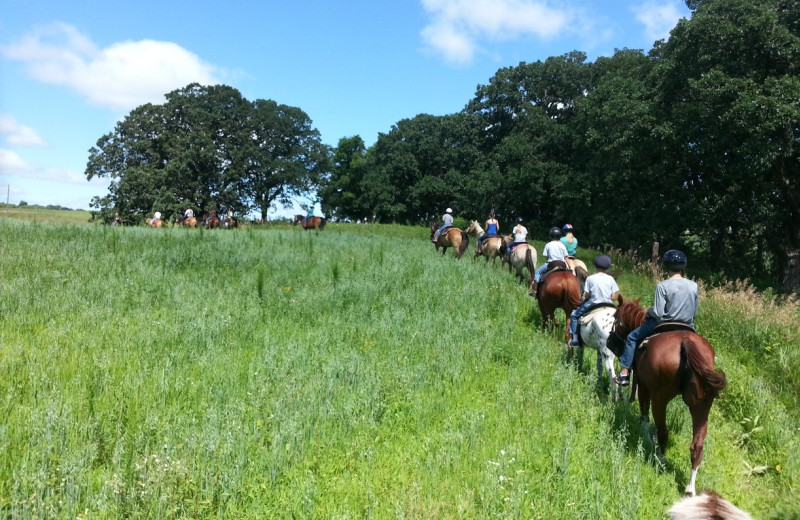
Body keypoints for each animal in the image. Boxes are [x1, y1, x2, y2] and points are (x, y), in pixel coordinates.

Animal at [608, 296, 728, 496]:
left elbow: (644, 415)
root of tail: (686, 343)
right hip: (702, 405)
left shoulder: (643, 386)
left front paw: (644, 435)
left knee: (663, 431)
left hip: (660, 398)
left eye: (616, 317)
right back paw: (689, 489)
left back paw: (660, 458)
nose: (610, 343)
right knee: (697, 446)